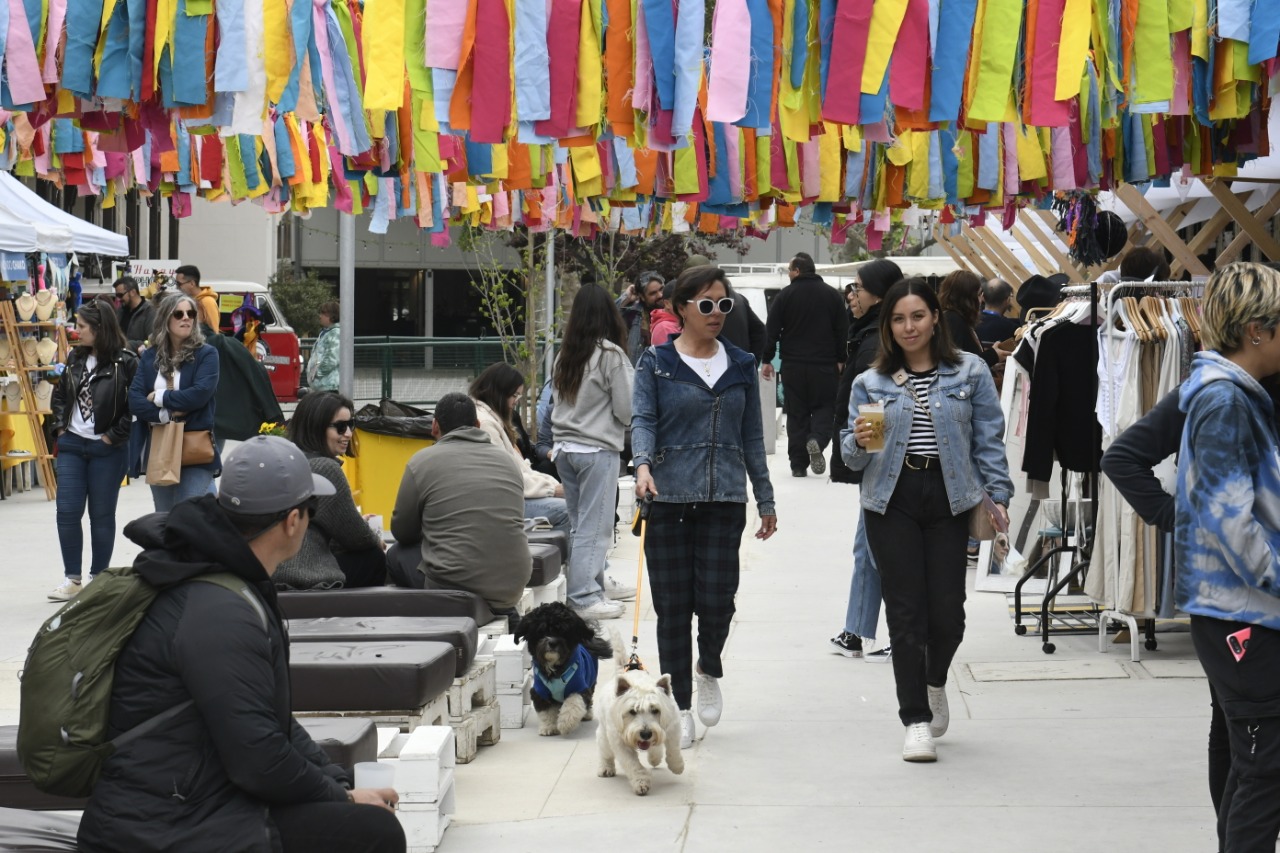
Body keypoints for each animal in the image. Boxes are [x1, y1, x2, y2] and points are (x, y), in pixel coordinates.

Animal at [514, 602, 613, 737]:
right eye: (541, 631)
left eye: (563, 632)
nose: (552, 642)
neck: (555, 670)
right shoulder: (540, 691)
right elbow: (546, 711)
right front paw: (548, 727)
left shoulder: (580, 687)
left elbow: (573, 703)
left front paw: (565, 723)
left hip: (591, 680)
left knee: (588, 701)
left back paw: (586, 715)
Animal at [596, 649, 684, 796]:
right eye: (632, 711)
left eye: (655, 710)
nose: (646, 734)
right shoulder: (620, 742)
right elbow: (633, 764)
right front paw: (641, 783)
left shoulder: (673, 725)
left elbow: (673, 747)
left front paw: (677, 765)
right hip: (605, 733)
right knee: (605, 750)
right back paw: (606, 768)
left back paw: (655, 758)